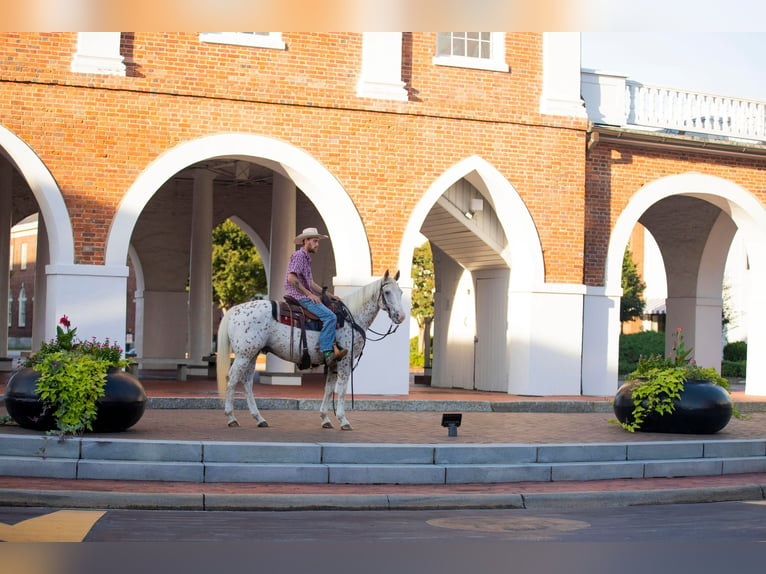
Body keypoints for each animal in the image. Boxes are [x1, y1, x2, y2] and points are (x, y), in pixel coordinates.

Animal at [216, 272, 408, 430]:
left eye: (400, 292)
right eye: (387, 292)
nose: (401, 316)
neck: (352, 318)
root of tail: (234, 310)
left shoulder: (333, 363)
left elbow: (329, 389)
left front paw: (325, 419)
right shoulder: (345, 361)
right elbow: (341, 389)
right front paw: (343, 420)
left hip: (252, 354)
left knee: (247, 382)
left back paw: (259, 418)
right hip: (243, 355)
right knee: (232, 379)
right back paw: (231, 417)